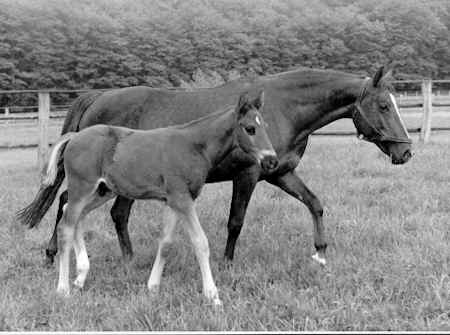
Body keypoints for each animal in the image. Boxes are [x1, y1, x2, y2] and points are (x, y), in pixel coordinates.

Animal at [17, 92, 276, 304]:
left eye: (265, 126)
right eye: (250, 128)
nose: (272, 160)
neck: (194, 145)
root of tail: (75, 136)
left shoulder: (173, 200)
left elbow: (166, 243)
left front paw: (152, 287)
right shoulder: (182, 199)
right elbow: (200, 242)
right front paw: (213, 296)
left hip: (102, 191)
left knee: (73, 215)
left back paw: (81, 276)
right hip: (83, 187)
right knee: (66, 226)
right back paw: (63, 288)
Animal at [31, 67, 414, 268]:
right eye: (384, 105)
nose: (406, 152)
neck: (282, 108)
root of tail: (98, 98)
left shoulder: (280, 173)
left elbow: (315, 203)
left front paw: (320, 253)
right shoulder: (248, 175)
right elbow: (236, 221)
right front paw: (227, 263)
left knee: (105, 211)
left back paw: (125, 259)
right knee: (72, 204)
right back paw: (56, 255)